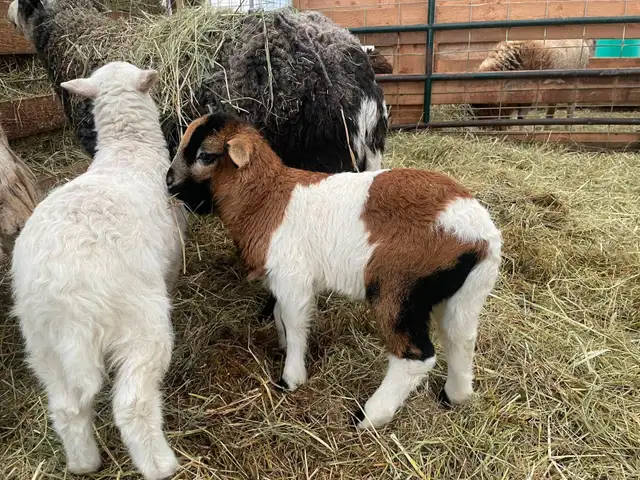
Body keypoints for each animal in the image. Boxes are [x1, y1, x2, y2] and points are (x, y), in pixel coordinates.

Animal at [11, 61, 187, 480]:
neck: (128, 147)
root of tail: (67, 297)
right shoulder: (173, 252)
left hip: (42, 342)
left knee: (66, 407)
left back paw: (84, 463)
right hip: (140, 323)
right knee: (132, 404)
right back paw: (161, 465)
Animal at [165, 112, 502, 430]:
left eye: (205, 156)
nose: (168, 183)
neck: (266, 199)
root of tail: (478, 233)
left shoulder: (293, 277)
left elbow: (293, 321)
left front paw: (291, 377)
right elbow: (280, 316)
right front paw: (283, 346)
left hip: (399, 288)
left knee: (415, 356)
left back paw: (368, 416)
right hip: (468, 291)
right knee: (461, 338)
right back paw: (455, 396)